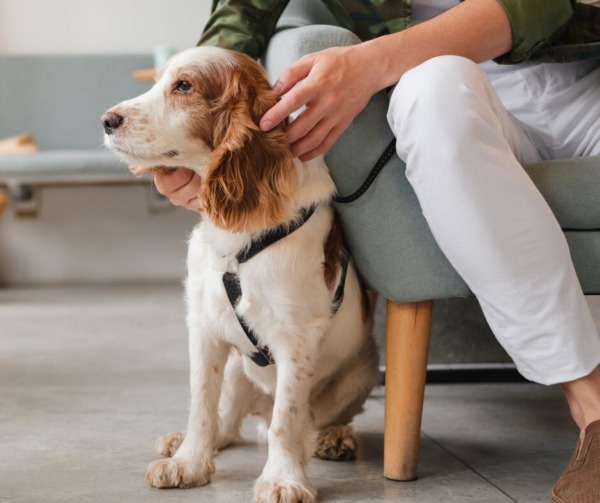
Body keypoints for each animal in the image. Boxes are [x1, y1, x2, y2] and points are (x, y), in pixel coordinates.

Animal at [102, 46, 379, 503]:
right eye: (158, 81)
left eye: (184, 86)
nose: (106, 120)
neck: (239, 238)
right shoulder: (204, 327)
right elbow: (202, 403)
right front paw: (189, 463)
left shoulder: (296, 338)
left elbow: (287, 417)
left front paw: (283, 478)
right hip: (237, 368)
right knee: (228, 422)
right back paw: (185, 441)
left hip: (361, 373)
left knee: (312, 418)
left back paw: (334, 438)